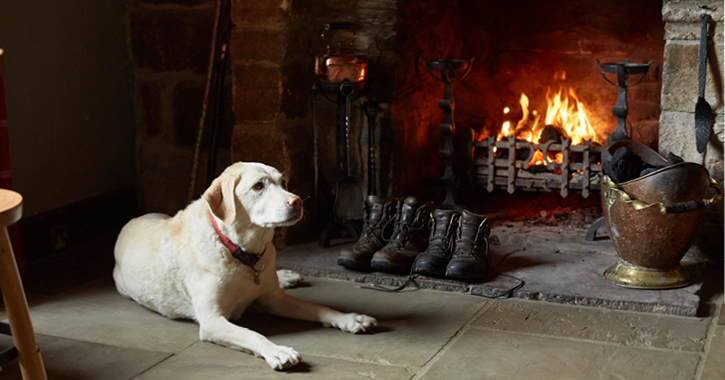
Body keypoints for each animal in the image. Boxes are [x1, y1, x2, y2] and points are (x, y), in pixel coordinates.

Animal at [113, 162, 378, 370]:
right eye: (258, 186)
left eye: (283, 182)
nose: (298, 201)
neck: (242, 253)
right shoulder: (212, 321)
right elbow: (254, 334)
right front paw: (278, 351)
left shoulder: (274, 300)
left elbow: (320, 308)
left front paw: (350, 319)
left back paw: (286, 276)